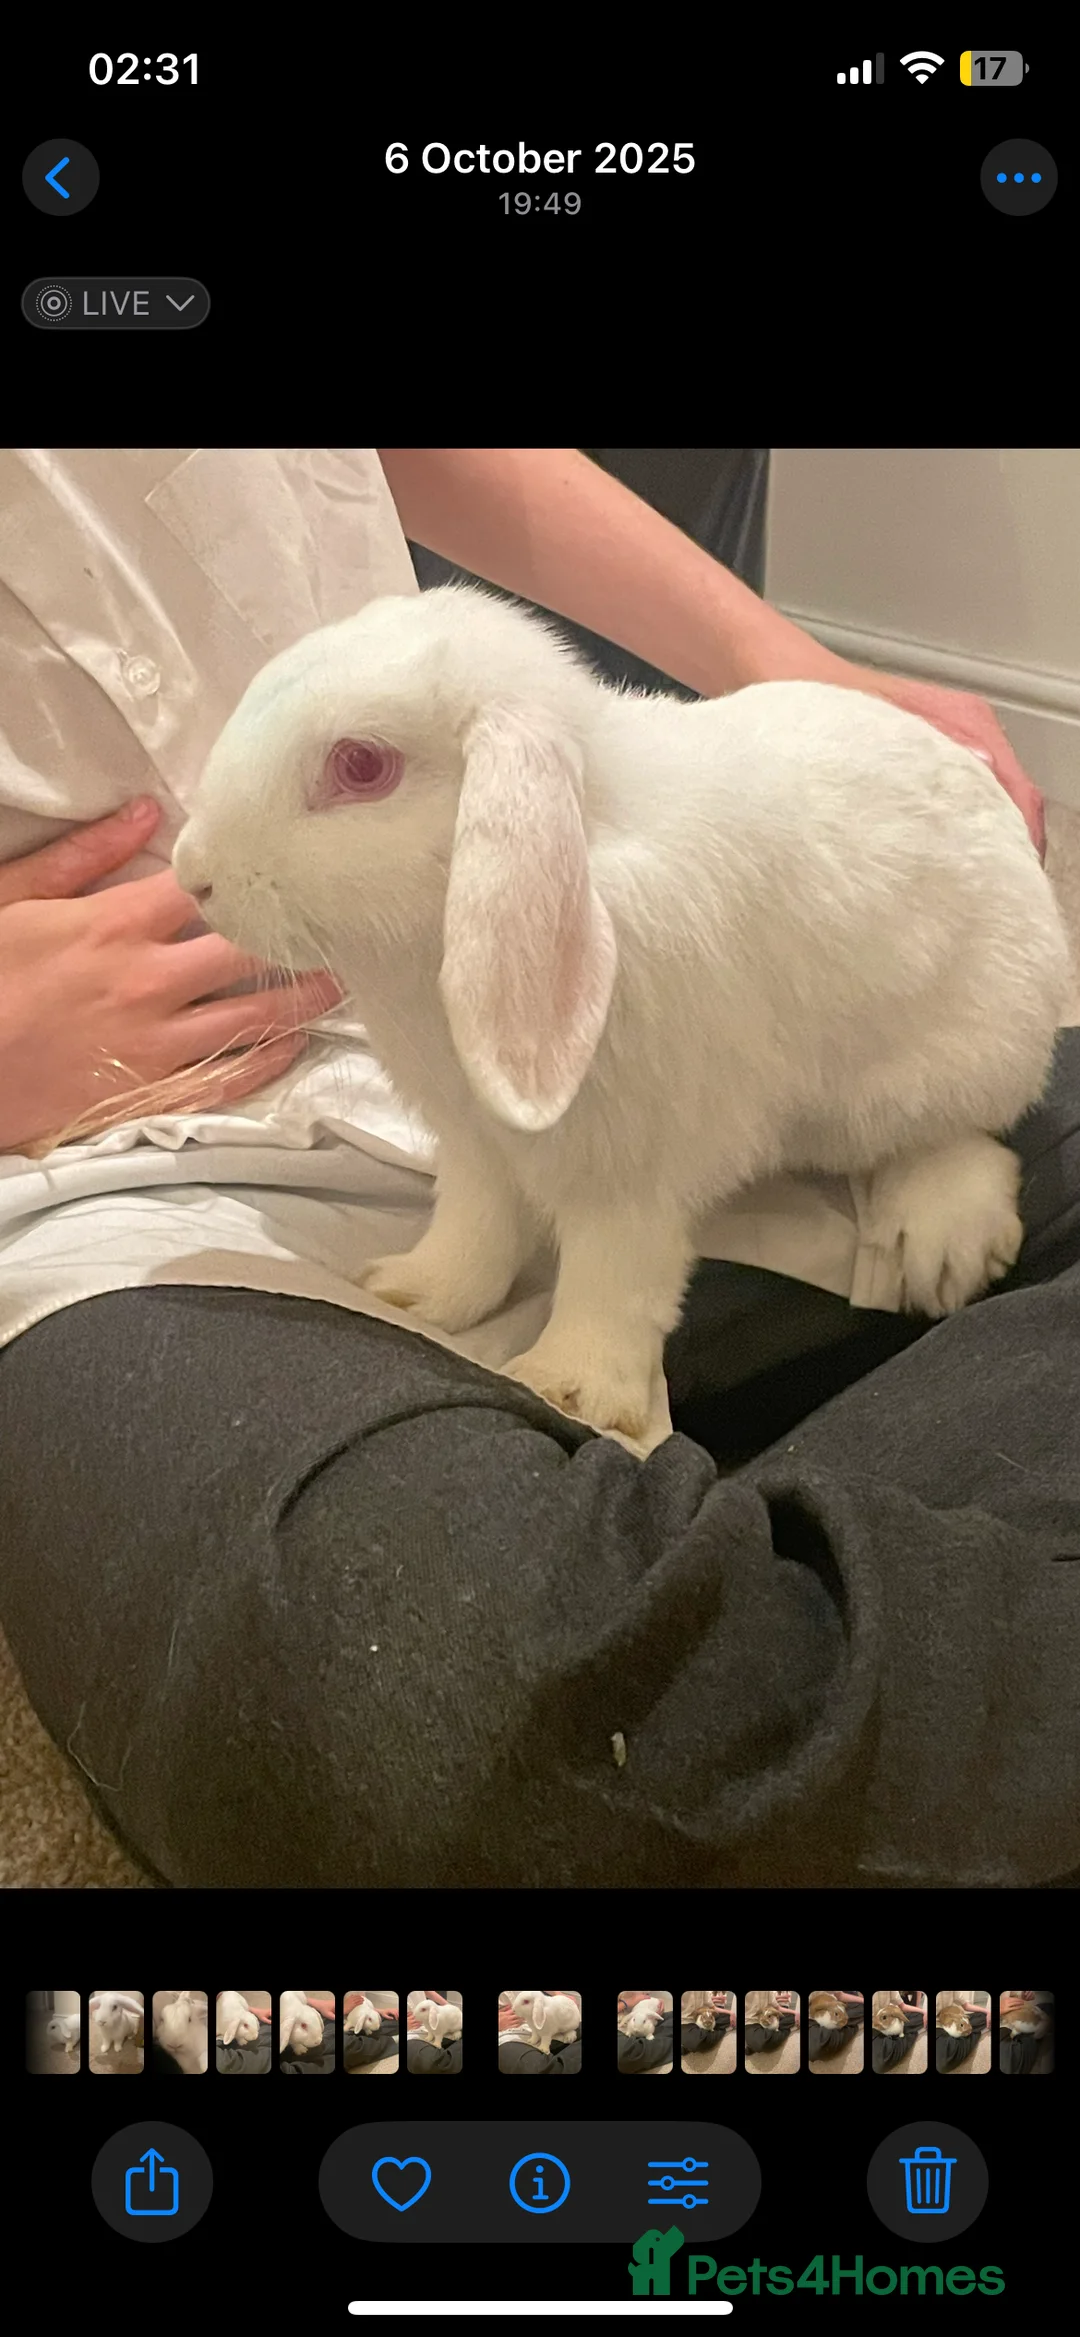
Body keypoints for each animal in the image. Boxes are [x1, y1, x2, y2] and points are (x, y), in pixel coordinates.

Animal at [173, 582, 1075, 1446]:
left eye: (361, 765)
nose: (193, 872)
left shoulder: (632, 1169)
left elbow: (614, 1276)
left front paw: (570, 1387)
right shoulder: (476, 1145)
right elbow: (475, 1227)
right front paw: (413, 1293)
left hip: (947, 1064)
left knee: (962, 1139)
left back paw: (945, 1247)